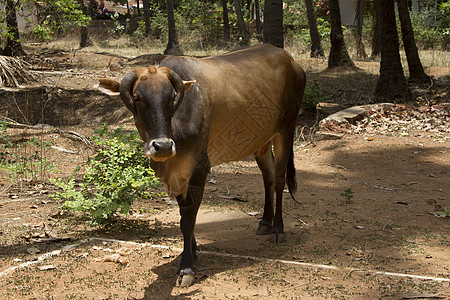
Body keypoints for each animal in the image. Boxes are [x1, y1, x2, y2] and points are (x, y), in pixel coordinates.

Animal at [95, 44, 306, 286]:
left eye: (172, 96)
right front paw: (192, 251)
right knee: (268, 177)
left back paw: (278, 228)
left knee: (279, 179)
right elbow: (183, 214)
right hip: (261, 141)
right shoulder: (177, 174)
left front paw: (186, 267)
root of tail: (292, 61)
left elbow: (188, 219)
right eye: (137, 97)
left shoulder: (200, 169)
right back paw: (265, 222)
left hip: (286, 129)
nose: (163, 146)